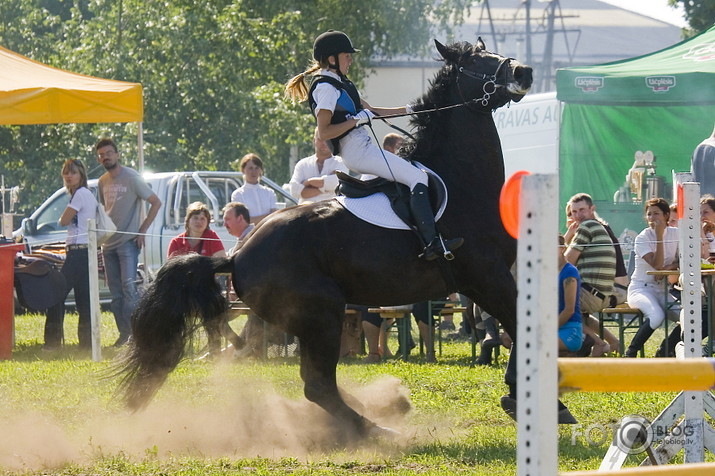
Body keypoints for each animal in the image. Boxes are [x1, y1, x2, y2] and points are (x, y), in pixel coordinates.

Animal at [119, 40, 532, 438]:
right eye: (476, 62)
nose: (523, 72)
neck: (462, 183)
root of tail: (238, 253)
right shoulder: (486, 275)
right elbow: (519, 325)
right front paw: (521, 398)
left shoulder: (484, 280)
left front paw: (517, 393)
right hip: (323, 314)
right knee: (317, 385)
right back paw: (375, 430)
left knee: (316, 383)